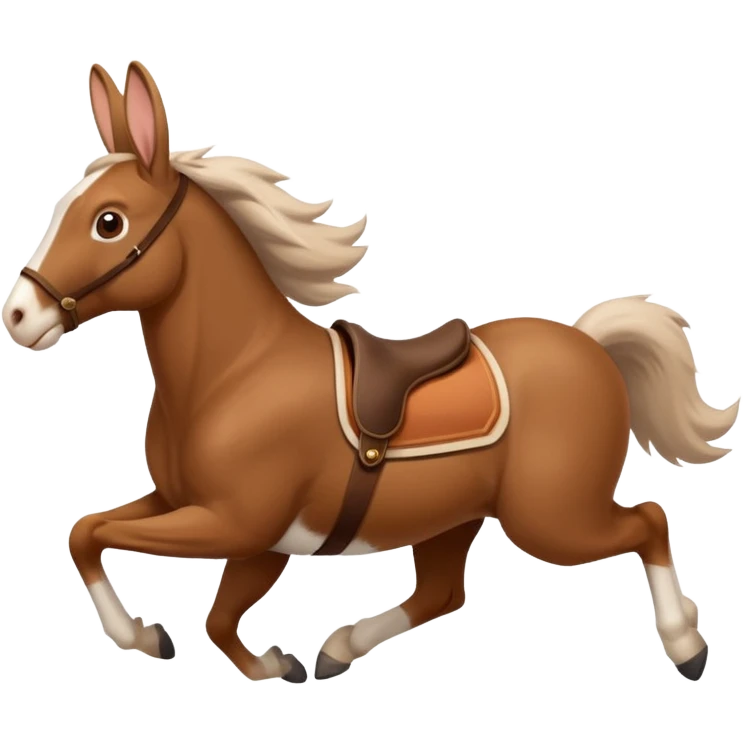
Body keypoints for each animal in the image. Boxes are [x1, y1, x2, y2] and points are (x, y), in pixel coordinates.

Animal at [2, 60, 737, 685]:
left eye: (107, 221)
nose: (18, 315)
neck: (237, 372)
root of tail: (589, 344)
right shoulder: (208, 517)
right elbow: (100, 541)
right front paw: (234, 654)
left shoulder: (233, 523)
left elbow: (125, 554)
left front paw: (159, 639)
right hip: (457, 516)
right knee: (443, 591)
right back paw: (337, 648)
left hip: (552, 518)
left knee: (648, 520)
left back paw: (686, 645)